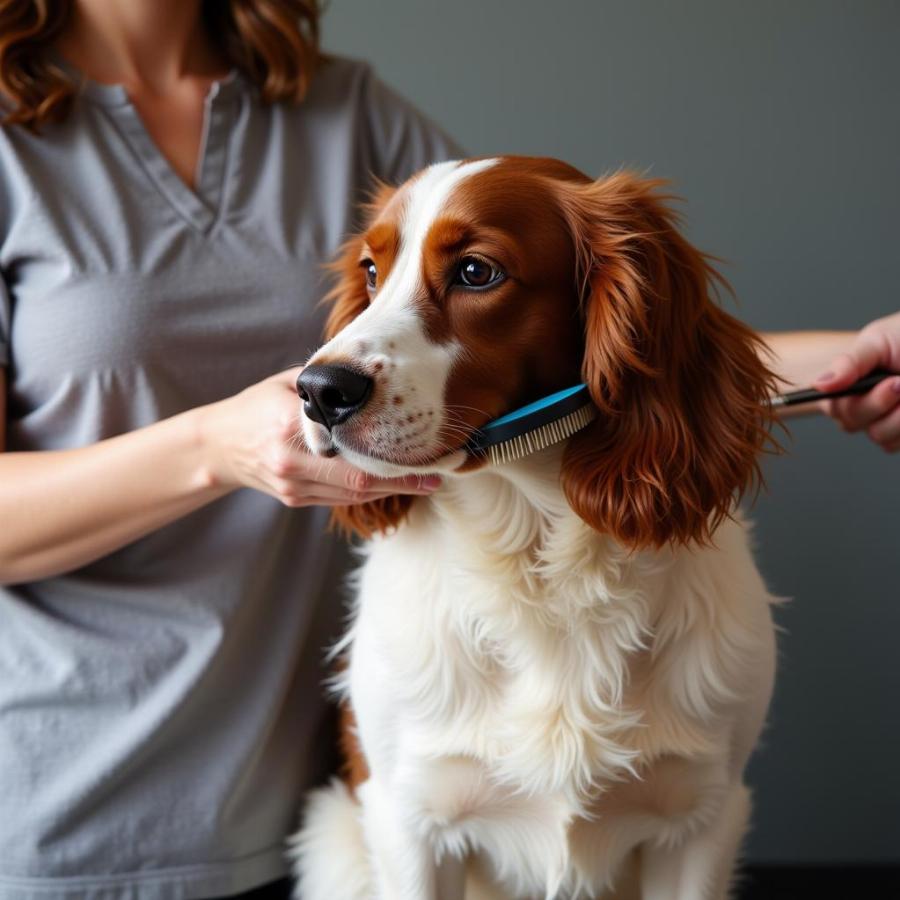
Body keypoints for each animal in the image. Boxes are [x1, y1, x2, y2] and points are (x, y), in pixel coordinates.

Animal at [292, 158, 776, 896]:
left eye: (475, 272)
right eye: (372, 271)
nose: (319, 391)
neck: (533, 544)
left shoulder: (700, 818)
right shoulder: (409, 820)